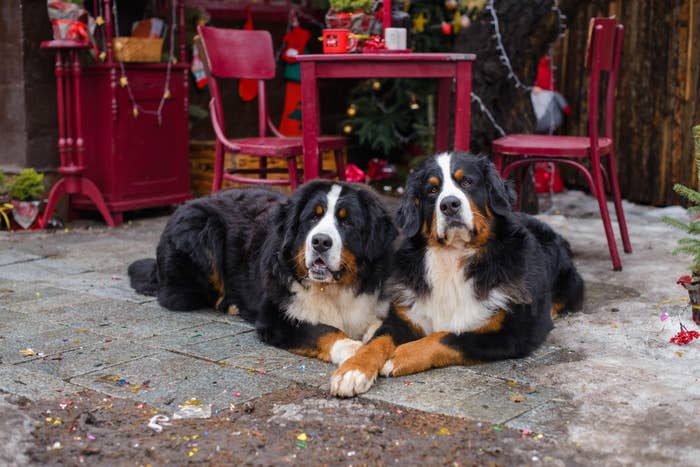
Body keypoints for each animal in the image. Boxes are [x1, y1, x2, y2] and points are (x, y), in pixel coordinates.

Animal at [128, 181, 396, 368]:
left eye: (347, 222)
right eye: (313, 217)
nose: (320, 241)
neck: (332, 289)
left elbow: (377, 324)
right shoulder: (275, 317)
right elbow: (322, 329)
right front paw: (353, 348)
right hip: (201, 228)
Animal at [330, 154, 584, 398]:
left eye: (468, 182)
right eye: (432, 190)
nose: (450, 204)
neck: (453, 257)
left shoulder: (513, 332)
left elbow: (446, 337)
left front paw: (399, 356)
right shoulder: (404, 317)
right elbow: (376, 342)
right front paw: (352, 371)